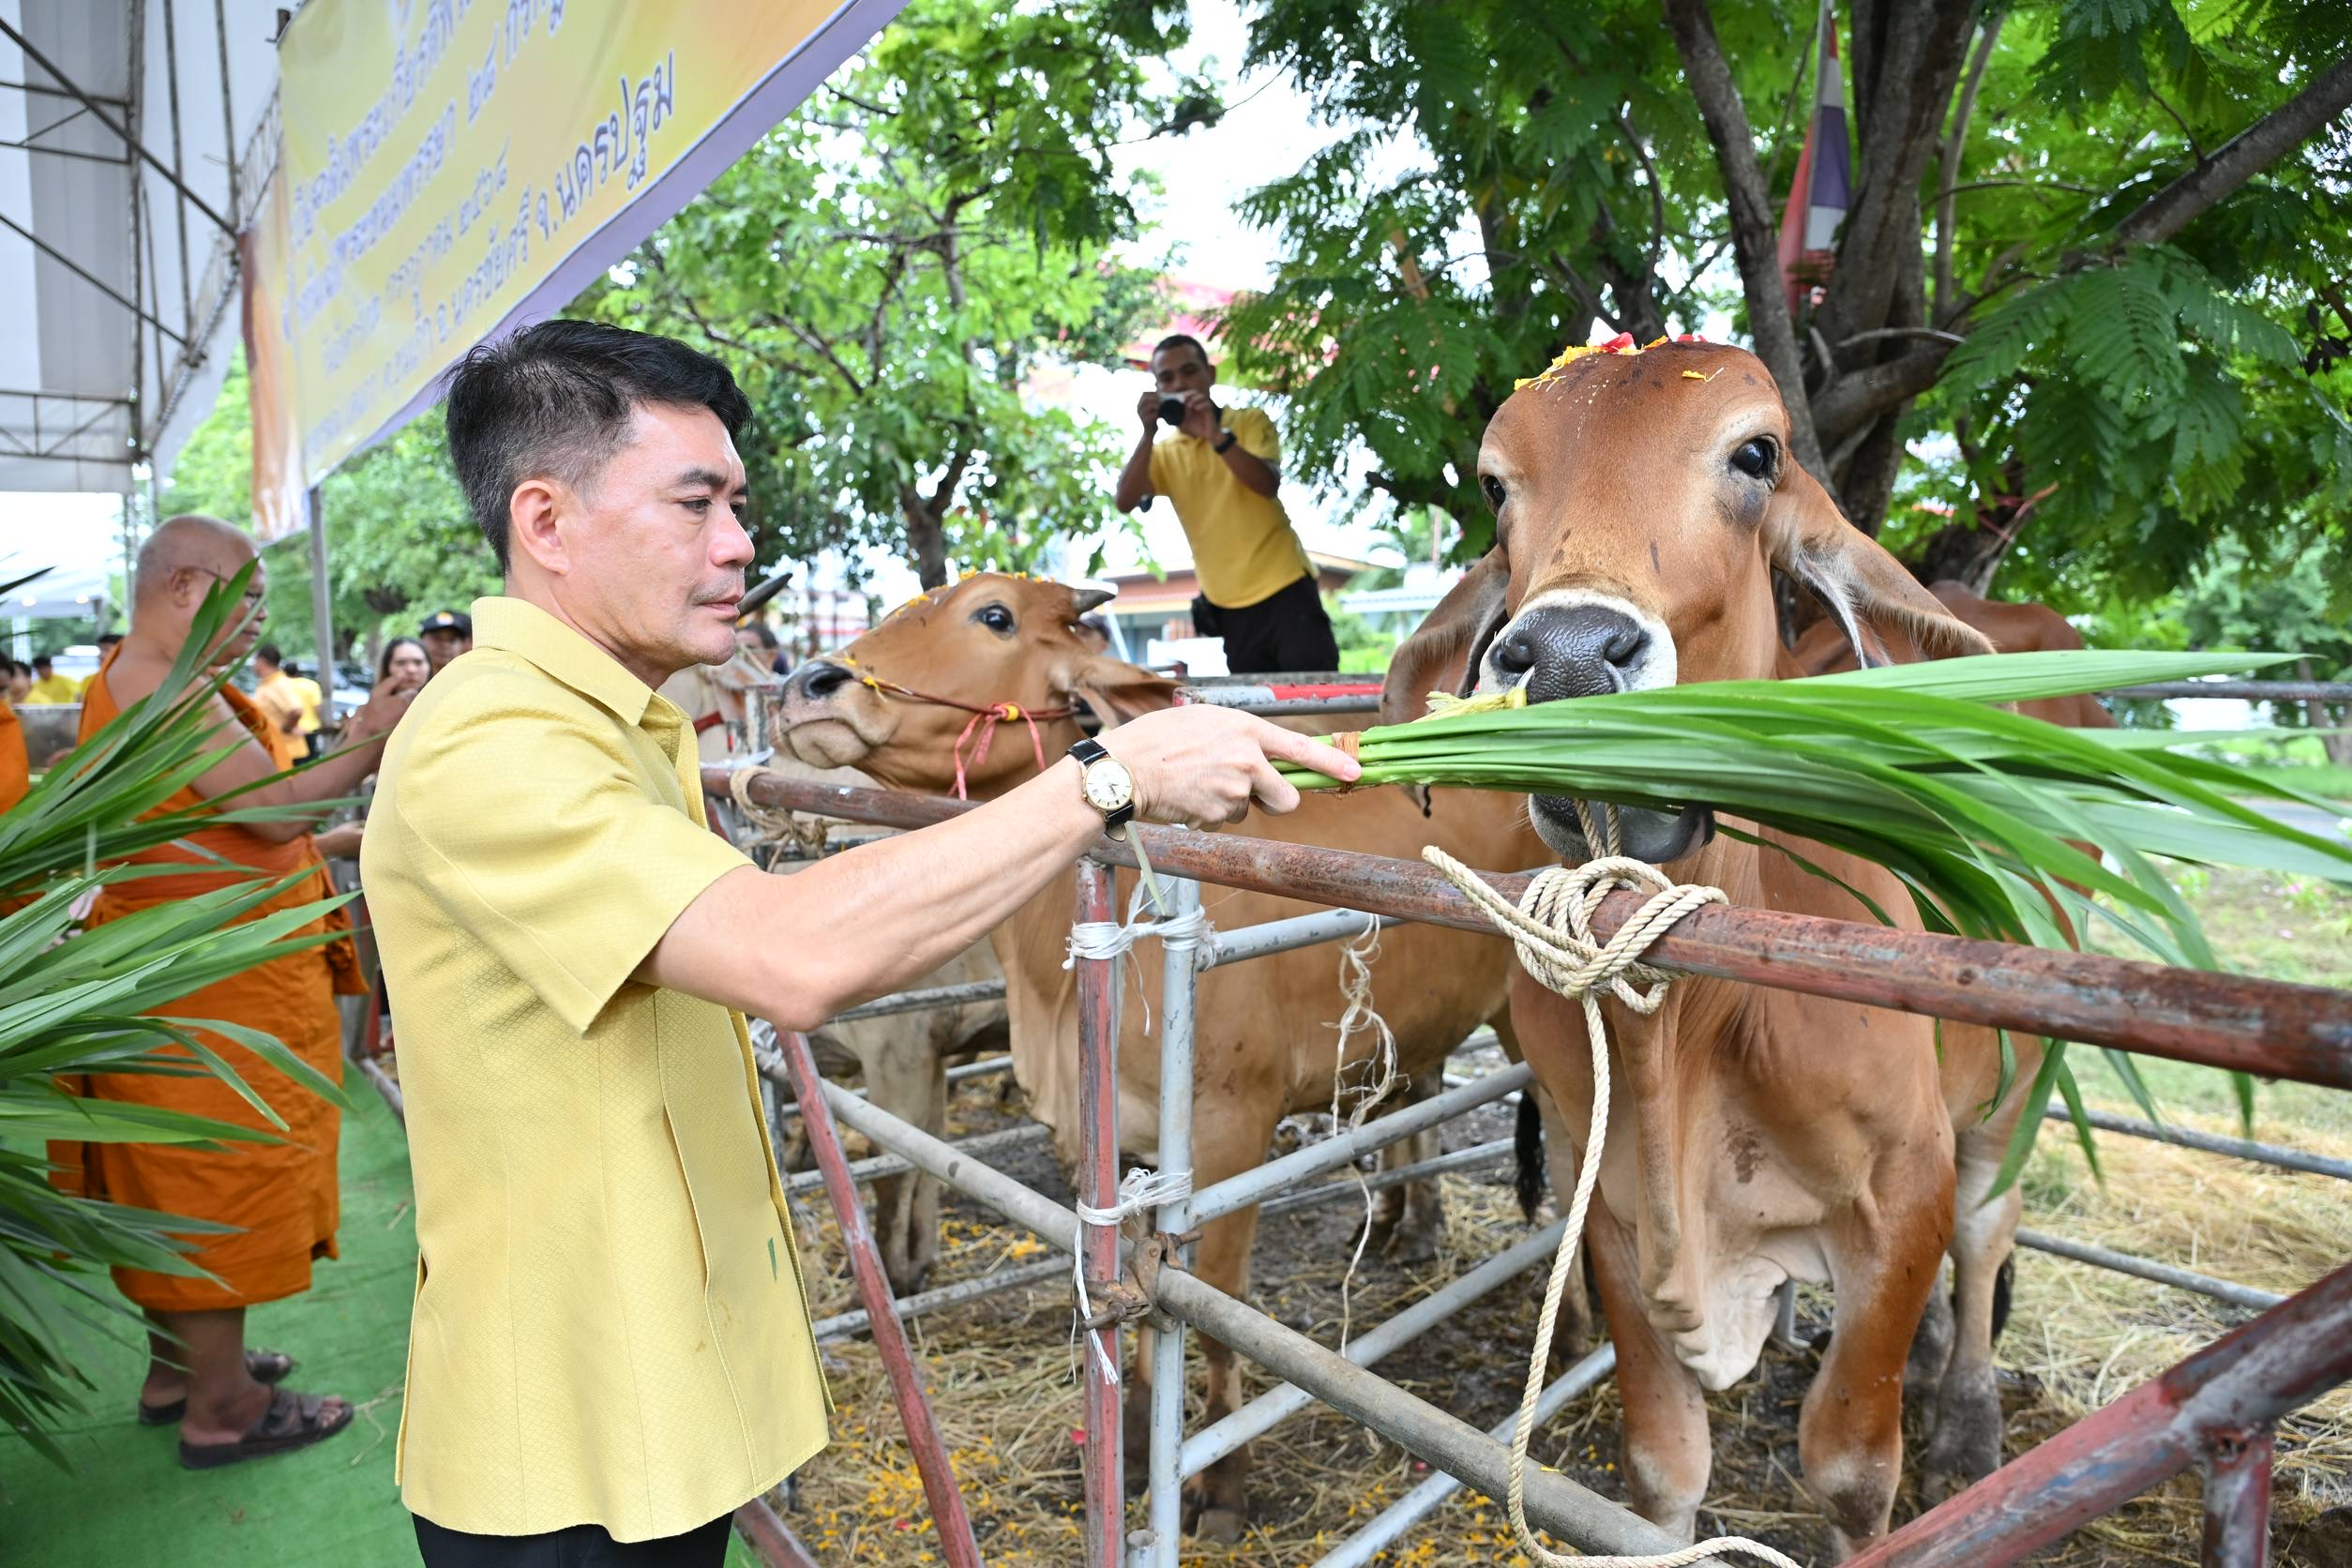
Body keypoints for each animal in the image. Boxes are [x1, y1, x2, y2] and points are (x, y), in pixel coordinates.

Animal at [773, 578, 1558, 1540]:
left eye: (993, 615)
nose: (806, 685)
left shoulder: (1230, 1137)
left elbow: (1217, 1311)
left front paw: (1218, 1485)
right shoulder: (1117, 1147)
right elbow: (1140, 1313)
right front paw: (1136, 1449)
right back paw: (1406, 1229)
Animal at [1380, 337, 2038, 1556]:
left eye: (1756, 453)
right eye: (1495, 485)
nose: (1568, 659)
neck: (1694, 1021)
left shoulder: (1900, 1194)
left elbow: (1851, 1470)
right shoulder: (1613, 1209)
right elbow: (1661, 1466)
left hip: (2008, 1102)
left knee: (1983, 1244)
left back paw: (1965, 1413)